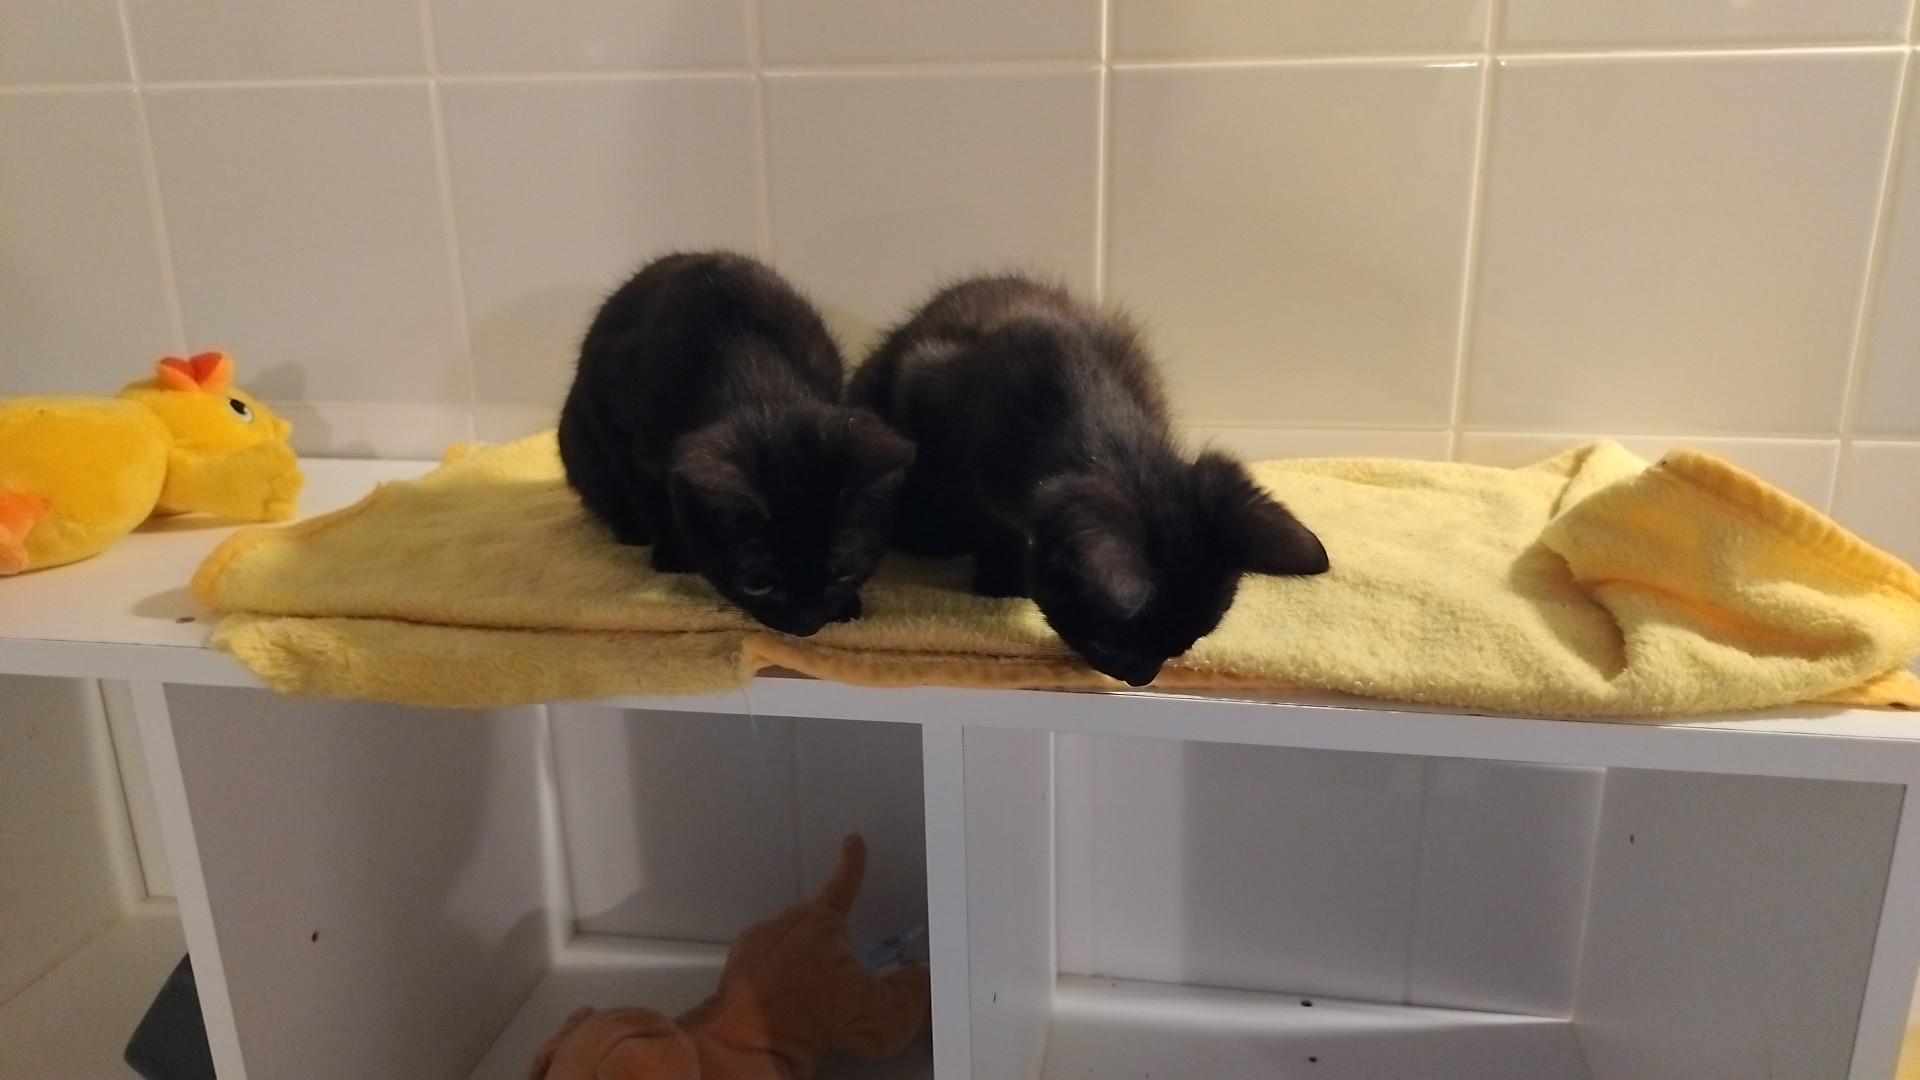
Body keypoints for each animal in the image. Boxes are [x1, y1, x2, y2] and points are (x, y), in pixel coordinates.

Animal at [558, 251, 913, 638]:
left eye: (845, 573)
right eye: (757, 584)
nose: (805, 626)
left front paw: (846, 604)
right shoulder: (618, 425)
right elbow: (649, 497)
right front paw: (673, 555)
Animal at [849, 275, 1328, 686]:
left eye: (1186, 643)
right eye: (1107, 644)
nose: (1142, 678)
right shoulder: (927, 394)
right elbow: (982, 517)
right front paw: (1002, 579)